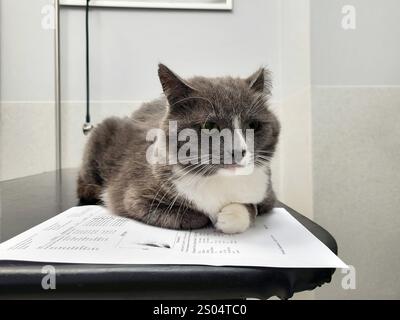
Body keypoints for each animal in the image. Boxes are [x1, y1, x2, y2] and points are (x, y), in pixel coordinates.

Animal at [76, 63, 280, 234]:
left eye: (253, 125)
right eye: (209, 126)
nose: (238, 151)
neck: (219, 179)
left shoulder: (268, 193)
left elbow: (254, 207)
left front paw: (231, 216)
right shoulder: (134, 195)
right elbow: (195, 217)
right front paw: (210, 216)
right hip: (102, 133)